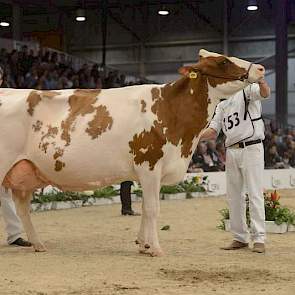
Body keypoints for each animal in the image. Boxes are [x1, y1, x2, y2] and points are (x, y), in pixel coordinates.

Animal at [0, 49, 264, 256]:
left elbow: (146, 207)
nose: (260, 68)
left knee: (22, 208)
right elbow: (153, 208)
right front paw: (155, 248)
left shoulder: (151, 171)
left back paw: (38, 244)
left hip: (25, 171)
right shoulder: (149, 164)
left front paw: (142, 245)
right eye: (223, 61)